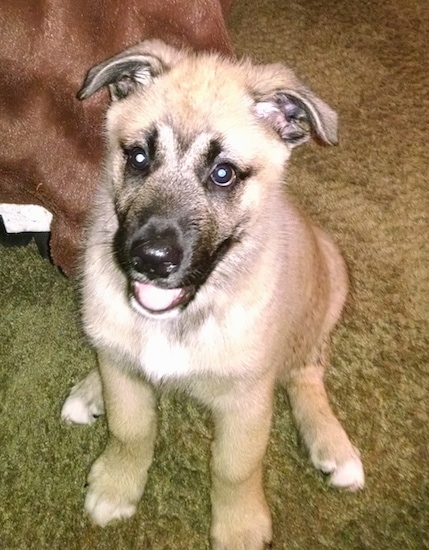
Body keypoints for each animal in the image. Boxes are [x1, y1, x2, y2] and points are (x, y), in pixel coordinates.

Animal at [61, 42, 362, 550]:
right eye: (138, 157)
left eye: (223, 174)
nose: (151, 259)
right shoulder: (127, 378)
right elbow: (131, 431)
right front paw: (118, 485)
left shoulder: (247, 399)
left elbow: (234, 469)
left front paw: (239, 526)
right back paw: (89, 389)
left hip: (327, 293)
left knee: (306, 373)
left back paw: (333, 444)